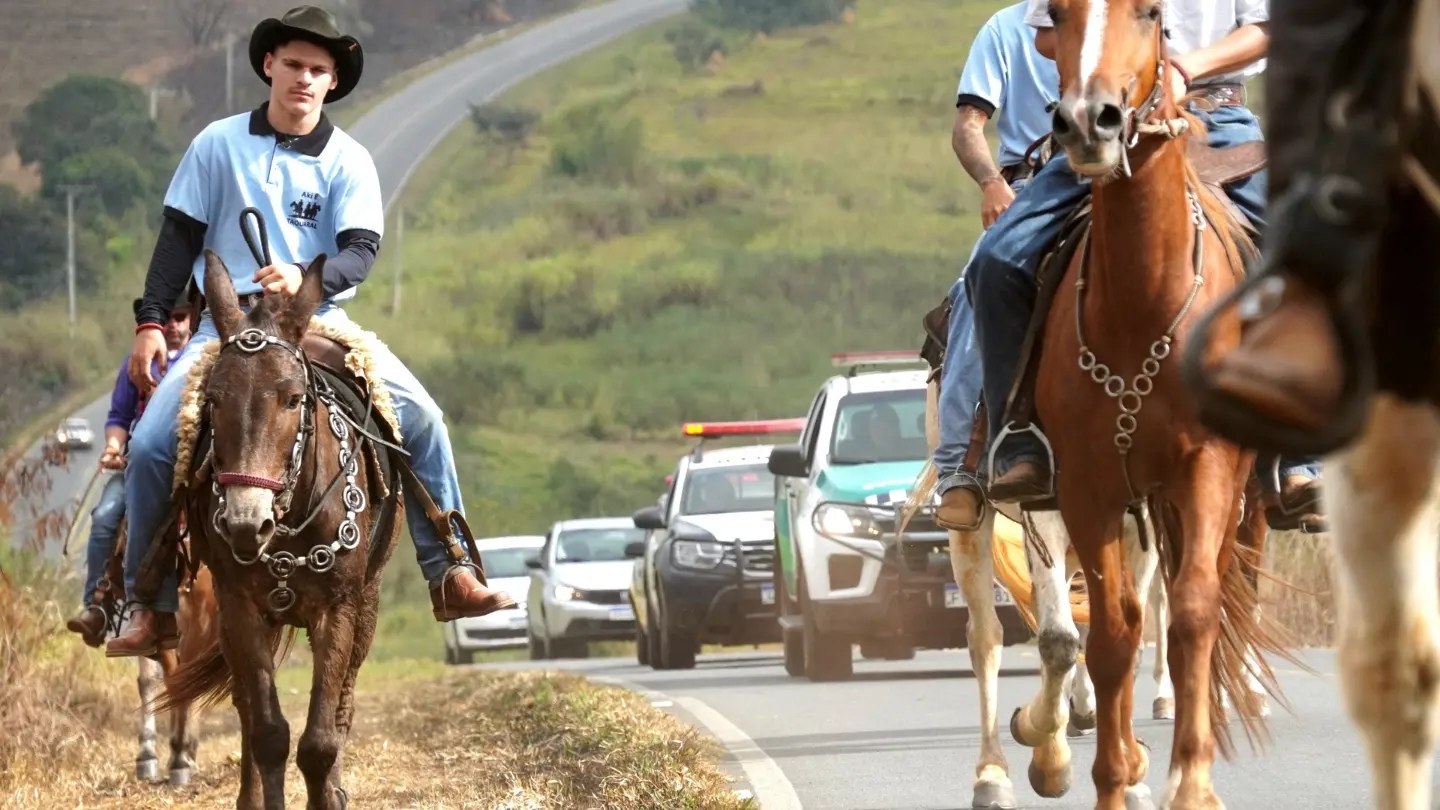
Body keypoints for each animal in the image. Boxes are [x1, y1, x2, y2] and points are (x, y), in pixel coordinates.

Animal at [1025, 3, 1284, 801]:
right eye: (1057, 16)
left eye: (1151, 13)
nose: (1089, 121)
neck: (1143, 304)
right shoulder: (1087, 487)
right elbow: (1113, 634)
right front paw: (1114, 780)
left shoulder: (1210, 467)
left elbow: (1197, 613)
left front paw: (1191, 786)